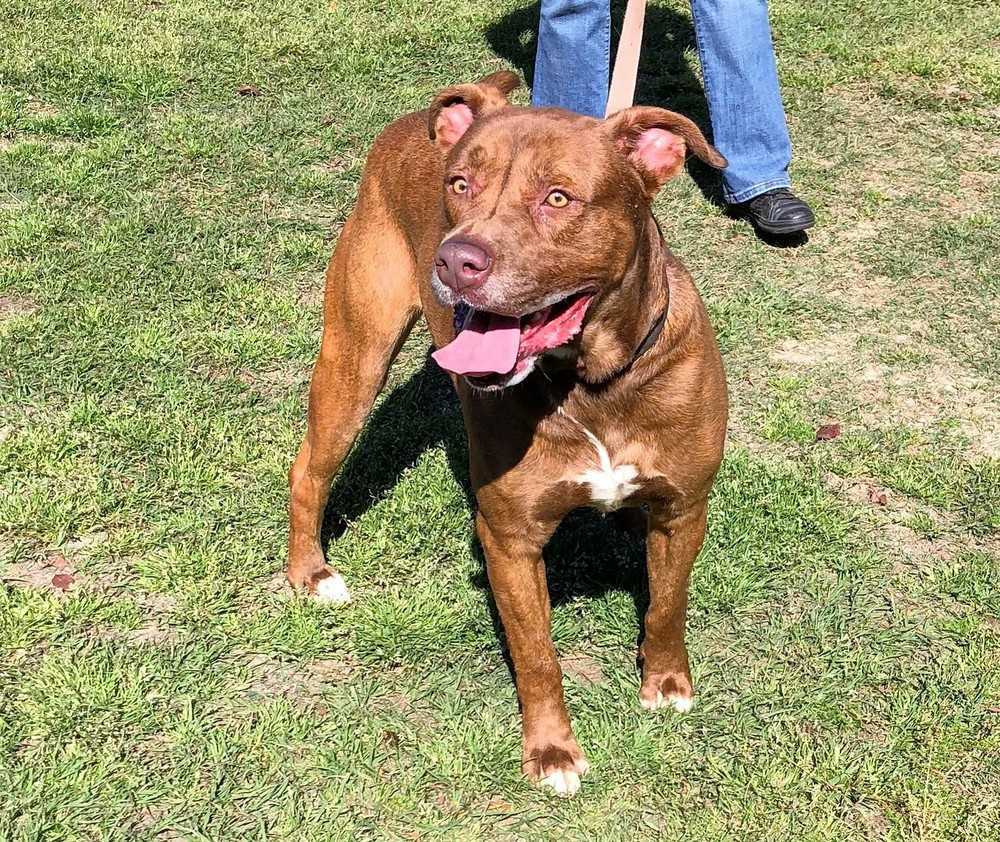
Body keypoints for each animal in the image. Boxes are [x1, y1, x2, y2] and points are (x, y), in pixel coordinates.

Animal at [286, 70, 732, 796]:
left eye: (558, 197)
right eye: (460, 184)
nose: (455, 260)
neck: (591, 382)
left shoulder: (682, 507)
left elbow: (667, 602)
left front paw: (666, 682)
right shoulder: (511, 539)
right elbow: (537, 654)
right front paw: (552, 751)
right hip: (355, 359)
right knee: (309, 469)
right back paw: (310, 572)